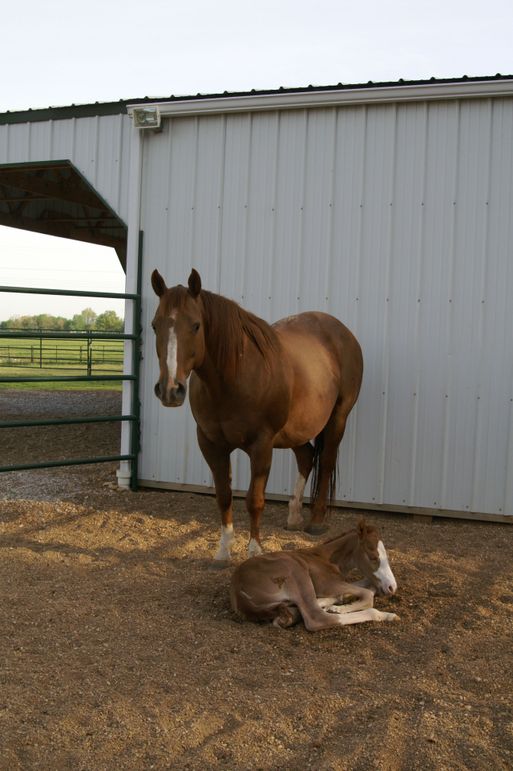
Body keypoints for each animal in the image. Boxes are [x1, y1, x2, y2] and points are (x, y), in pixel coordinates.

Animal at [151, 268, 363, 561]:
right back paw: (294, 516)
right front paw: (223, 551)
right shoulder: (210, 444)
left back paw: (316, 522)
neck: (235, 376)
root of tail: (344, 333)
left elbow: (255, 499)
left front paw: (254, 550)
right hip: (296, 429)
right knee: (307, 457)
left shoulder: (261, 445)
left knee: (327, 461)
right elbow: (224, 495)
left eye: (195, 325)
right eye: (154, 325)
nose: (171, 389)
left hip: (337, 418)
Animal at [230, 520, 398, 631]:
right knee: (316, 618)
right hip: (295, 571)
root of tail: (238, 594)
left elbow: (366, 584)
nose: (392, 587)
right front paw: (339, 608)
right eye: (373, 557)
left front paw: (336, 603)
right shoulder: (327, 584)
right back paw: (386, 615)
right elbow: (368, 595)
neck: (325, 558)